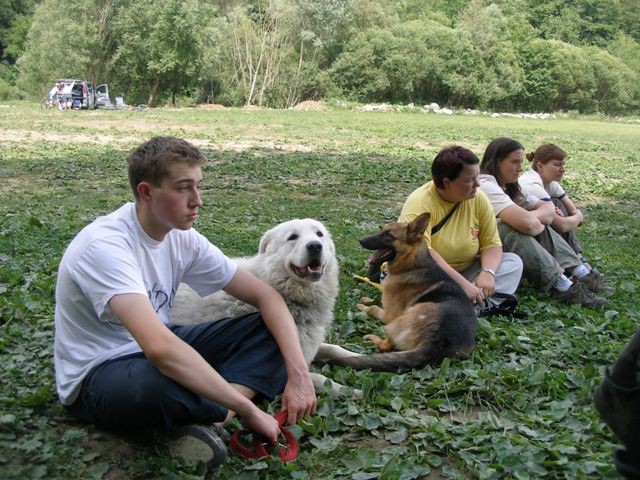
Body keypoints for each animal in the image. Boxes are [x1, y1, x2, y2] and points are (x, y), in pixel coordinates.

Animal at [172, 219, 352, 396]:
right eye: (293, 237)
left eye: (319, 234)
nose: (315, 246)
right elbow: (318, 379)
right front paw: (350, 391)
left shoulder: (307, 344)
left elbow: (334, 349)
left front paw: (357, 358)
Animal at [328, 213, 478, 372]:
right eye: (381, 229)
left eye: (389, 235)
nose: (361, 241)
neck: (412, 265)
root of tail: (437, 339)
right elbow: (377, 299)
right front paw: (366, 299)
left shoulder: (389, 314)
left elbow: (374, 308)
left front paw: (363, 306)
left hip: (395, 322)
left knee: (386, 346)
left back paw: (372, 338)